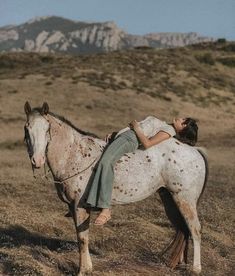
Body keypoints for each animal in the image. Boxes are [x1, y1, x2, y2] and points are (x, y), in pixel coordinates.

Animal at [23, 102, 207, 274]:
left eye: (47, 129)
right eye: (27, 128)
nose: (37, 160)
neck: (74, 155)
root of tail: (195, 150)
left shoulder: (80, 206)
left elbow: (82, 238)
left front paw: (83, 270)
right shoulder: (72, 206)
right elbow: (80, 235)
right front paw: (87, 267)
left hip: (185, 199)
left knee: (195, 229)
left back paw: (195, 268)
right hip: (169, 199)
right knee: (183, 229)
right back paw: (177, 264)